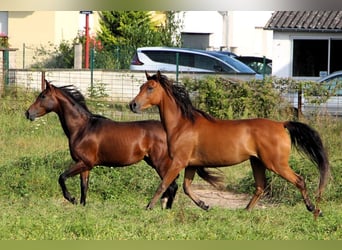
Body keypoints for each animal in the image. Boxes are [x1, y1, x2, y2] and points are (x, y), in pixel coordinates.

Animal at [24, 81, 222, 208]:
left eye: (43, 96)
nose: (28, 113)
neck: (82, 128)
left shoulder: (84, 163)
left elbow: (62, 177)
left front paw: (71, 199)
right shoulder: (85, 166)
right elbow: (84, 187)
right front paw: (81, 205)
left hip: (161, 163)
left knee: (171, 186)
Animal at [130, 71, 330, 218]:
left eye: (150, 88)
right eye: (140, 87)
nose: (133, 105)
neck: (183, 124)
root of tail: (281, 124)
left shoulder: (179, 161)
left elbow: (163, 184)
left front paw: (148, 207)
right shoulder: (191, 164)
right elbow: (186, 188)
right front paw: (204, 205)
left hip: (276, 163)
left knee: (299, 180)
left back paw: (314, 209)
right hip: (257, 162)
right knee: (260, 186)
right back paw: (245, 211)